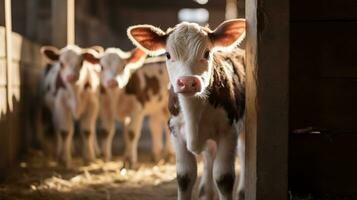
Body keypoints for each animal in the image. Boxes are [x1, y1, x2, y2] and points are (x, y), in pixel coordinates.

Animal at [129, 19, 248, 200]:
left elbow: (224, 178)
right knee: (209, 155)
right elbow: (185, 178)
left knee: (242, 151)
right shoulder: (175, 132)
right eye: (168, 54)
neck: (193, 112)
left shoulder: (229, 131)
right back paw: (206, 192)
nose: (187, 82)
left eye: (207, 53)